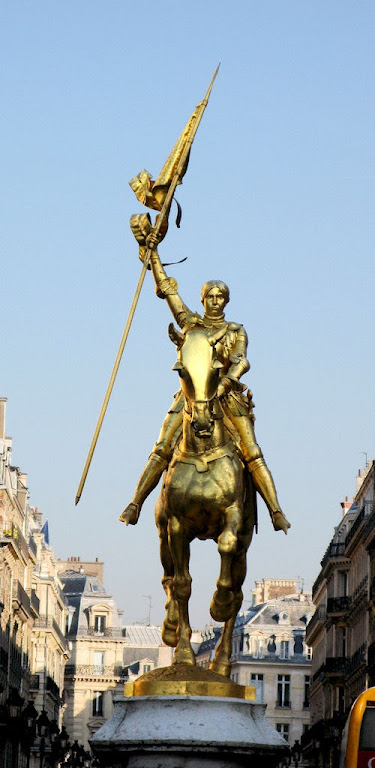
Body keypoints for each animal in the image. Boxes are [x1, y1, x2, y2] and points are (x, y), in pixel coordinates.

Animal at [154, 320, 258, 676]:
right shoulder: (176, 526)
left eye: (215, 369)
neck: (202, 453)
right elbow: (182, 584)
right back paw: (171, 627)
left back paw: (222, 662)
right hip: (163, 534)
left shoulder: (233, 515)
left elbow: (225, 551)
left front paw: (218, 602)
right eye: (181, 370)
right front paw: (184, 653)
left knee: (238, 594)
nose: (201, 422)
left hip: (244, 546)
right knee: (168, 579)